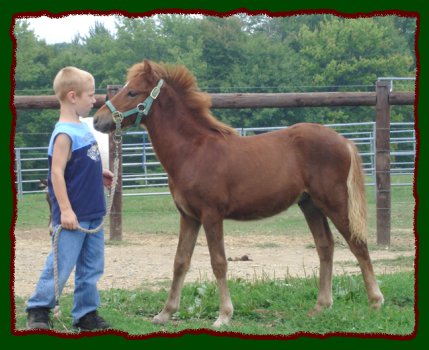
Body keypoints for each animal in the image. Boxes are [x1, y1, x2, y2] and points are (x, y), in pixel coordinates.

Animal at [93, 59, 382, 328]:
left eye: (133, 92)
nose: (98, 119)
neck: (193, 151)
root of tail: (344, 140)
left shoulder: (211, 215)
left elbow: (218, 262)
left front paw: (224, 315)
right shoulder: (188, 216)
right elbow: (180, 261)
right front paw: (165, 313)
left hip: (334, 202)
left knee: (357, 244)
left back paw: (375, 302)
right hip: (310, 204)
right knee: (325, 246)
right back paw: (321, 306)